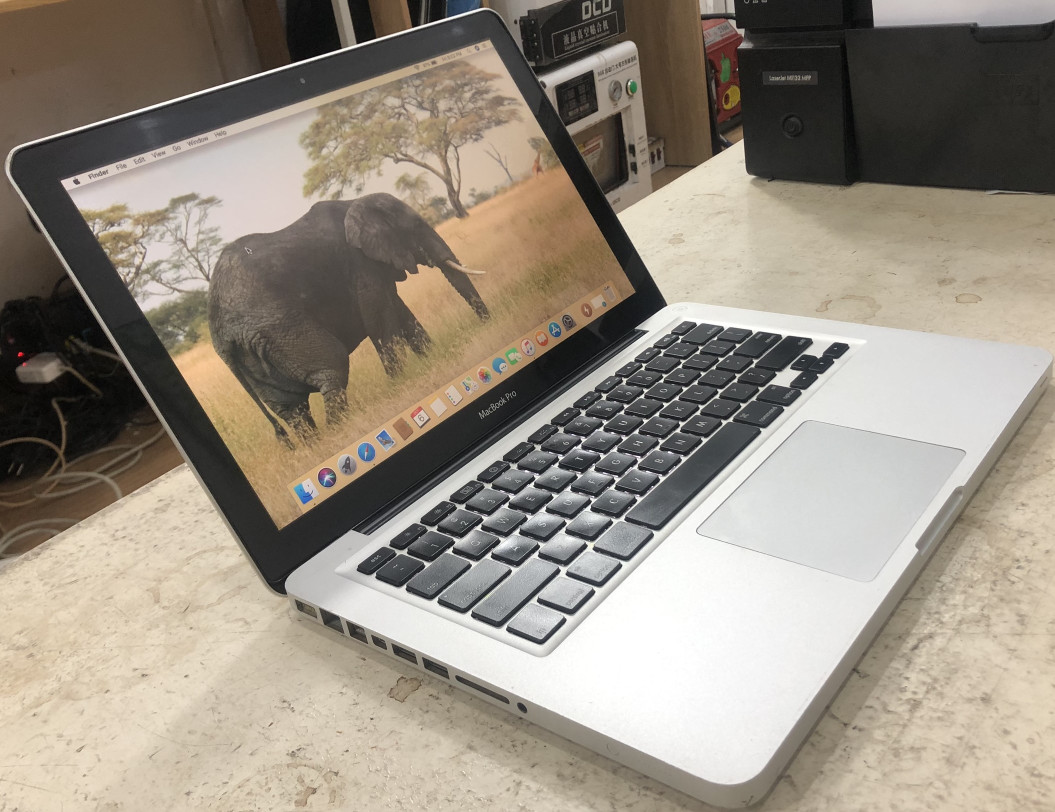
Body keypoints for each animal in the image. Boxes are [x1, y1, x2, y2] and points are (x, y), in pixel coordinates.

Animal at [208, 193, 489, 446]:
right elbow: (382, 320)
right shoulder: (360, 263)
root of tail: (220, 334)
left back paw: (317, 448)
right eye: (417, 227)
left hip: (253, 352)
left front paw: (433, 360)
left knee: (290, 408)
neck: (356, 203)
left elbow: (400, 312)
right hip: (280, 327)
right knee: (332, 369)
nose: (488, 323)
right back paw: (340, 433)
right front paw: (400, 382)